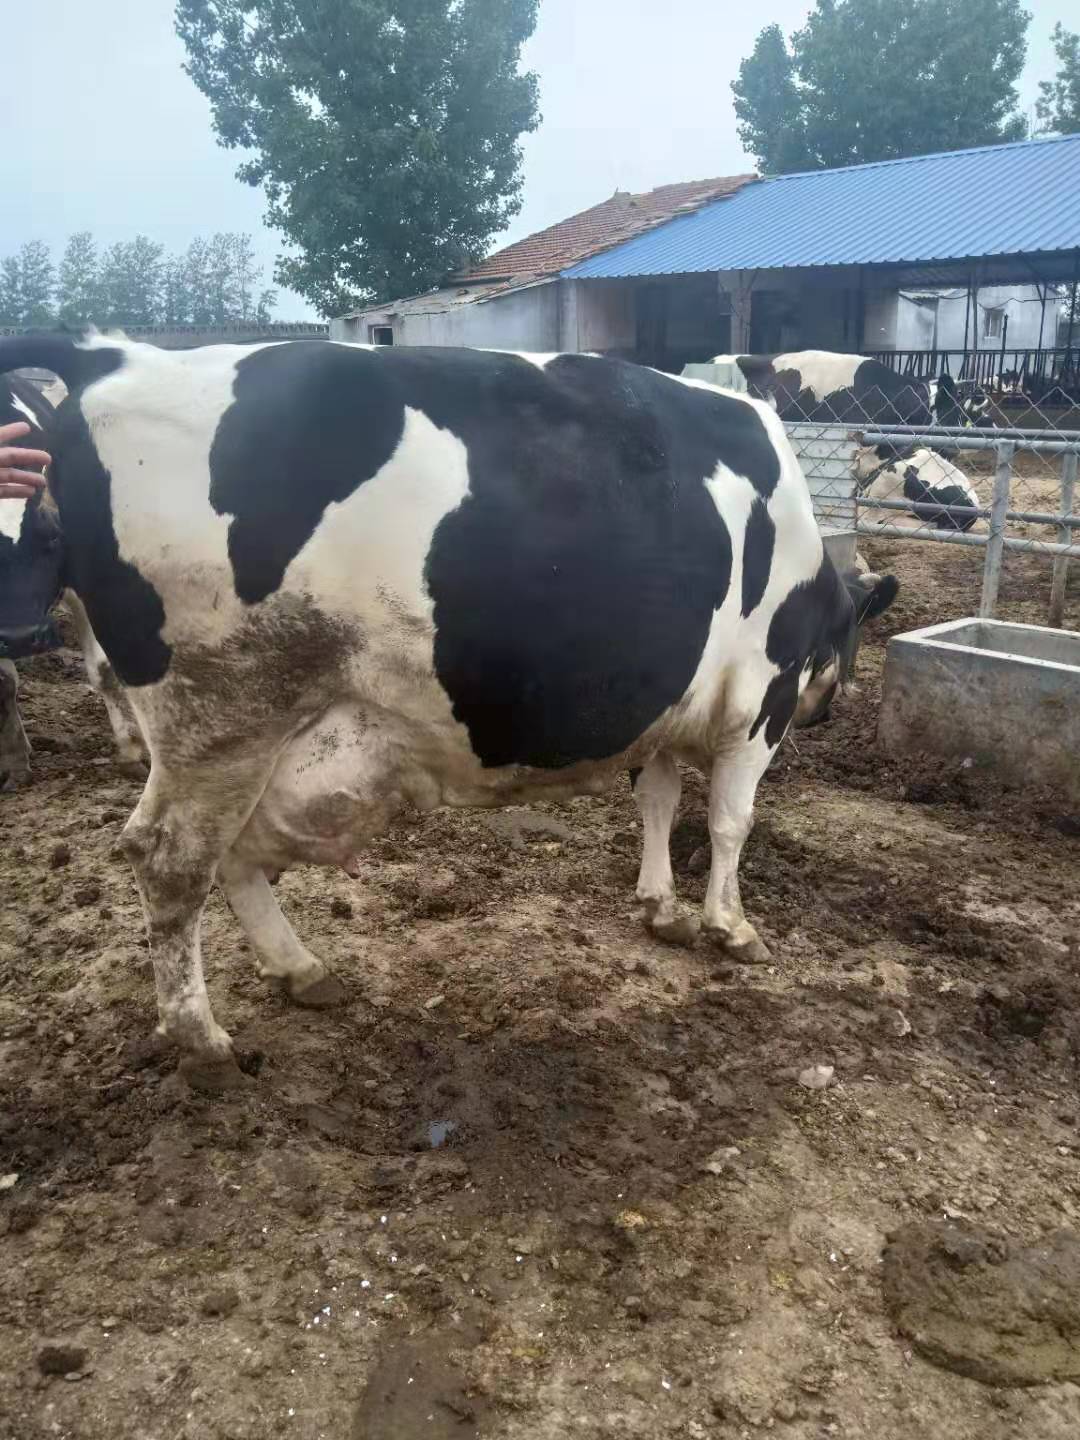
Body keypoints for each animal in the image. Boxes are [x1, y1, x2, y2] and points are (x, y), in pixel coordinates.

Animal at [0, 371, 144, 789]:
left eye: (52, 536)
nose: (21, 637)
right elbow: (4, 684)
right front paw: (15, 762)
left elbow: (106, 669)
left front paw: (133, 751)